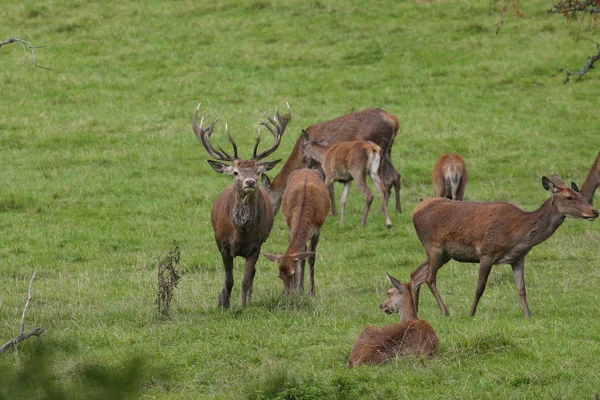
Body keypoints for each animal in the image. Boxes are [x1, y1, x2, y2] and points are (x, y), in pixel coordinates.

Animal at [193, 101, 292, 308]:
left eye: (257, 172)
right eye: (236, 172)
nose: (251, 182)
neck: (240, 232)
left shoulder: (256, 246)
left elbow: (246, 279)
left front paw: (244, 306)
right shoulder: (223, 245)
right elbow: (228, 280)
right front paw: (225, 305)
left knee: (252, 274)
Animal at [262, 108, 404, 216]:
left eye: (266, 196)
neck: (299, 155)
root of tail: (394, 121)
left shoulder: (321, 167)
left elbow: (328, 189)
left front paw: (333, 213)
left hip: (379, 148)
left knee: (386, 180)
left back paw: (383, 211)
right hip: (387, 151)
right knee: (395, 175)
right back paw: (395, 210)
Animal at [262, 167, 328, 296]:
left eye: (293, 274)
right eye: (279, 276)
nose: (286, 295)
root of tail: (306, 169)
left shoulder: (317, 229)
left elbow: (312, 258)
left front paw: (312, 291)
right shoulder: (290, 227)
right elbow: (301, 257)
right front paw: (301, 290)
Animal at [410, 173, 596, 318]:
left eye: (581, 195)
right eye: (569, 197)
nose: (595, 211)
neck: (518, 233)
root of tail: (415, 210)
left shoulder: (518, 258)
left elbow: (522, 288)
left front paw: (527, 315)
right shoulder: (487, 252)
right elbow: (480, 287)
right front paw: (471, 313)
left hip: (444, 254)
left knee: (416, 274)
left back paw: (416, 312)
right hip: (433, 247)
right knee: (429, 277)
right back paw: (445, 311)